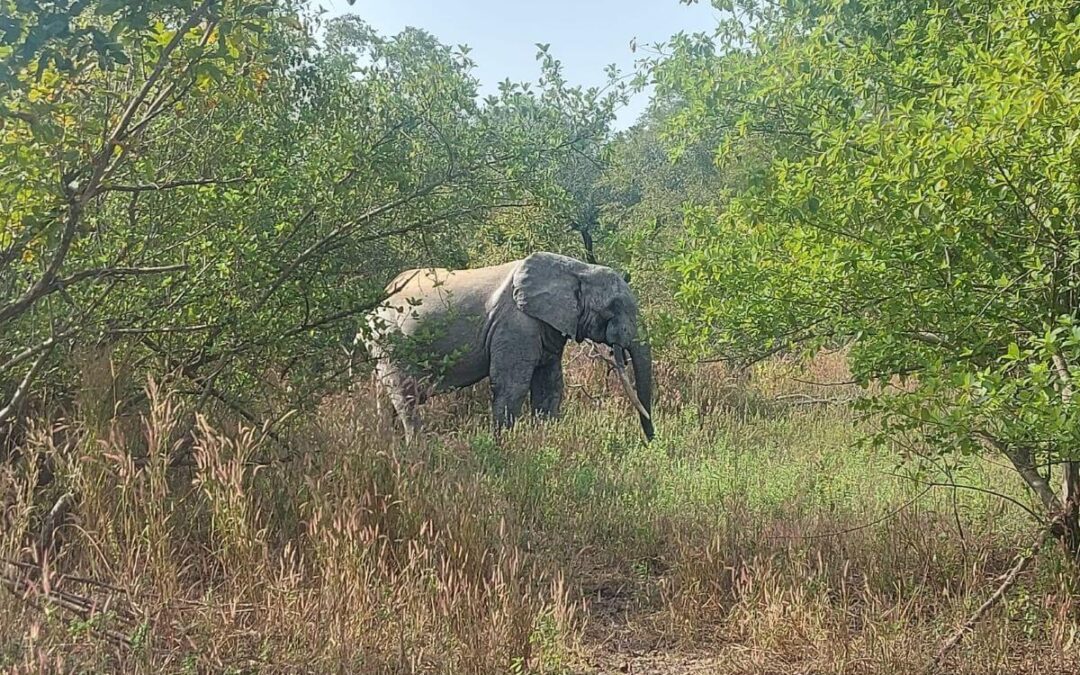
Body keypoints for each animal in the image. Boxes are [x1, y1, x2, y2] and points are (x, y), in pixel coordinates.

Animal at [362, 252, 652, 442]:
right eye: (614, 307)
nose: (651, 441)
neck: (578, 268)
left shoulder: (547, 326)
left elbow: (549, 386)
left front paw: (544, 443)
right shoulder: (516, 325)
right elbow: (512, 386)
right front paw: (502, 449)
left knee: (384, 398)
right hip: (390, 342)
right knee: (405, 396)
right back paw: (417, 451)